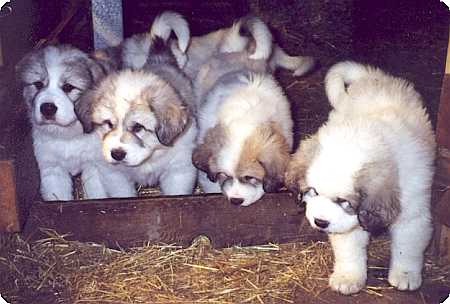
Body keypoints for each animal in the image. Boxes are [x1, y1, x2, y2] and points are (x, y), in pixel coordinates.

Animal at [15, 45, 137, 201]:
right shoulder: (53, 169)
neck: (68, 137)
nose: (47, 108)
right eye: (38, 84)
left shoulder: (95, 167)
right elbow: (58, 196)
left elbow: (97, 193)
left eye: (68, 87)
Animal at [75, 11, 197, 195]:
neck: (151, 155)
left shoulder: (178, 171)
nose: (117, 154)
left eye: (138, 127)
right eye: (108, 124)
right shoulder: (116, 176)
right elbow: (123, 194)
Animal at [284, 61, 436, 294]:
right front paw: (348, 277)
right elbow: (349, 250)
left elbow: (408, 246)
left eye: (343, 201)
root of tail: (371, 76)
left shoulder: (413, 214)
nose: (320, 222)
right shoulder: (347, 225)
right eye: (314, 192)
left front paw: (406, 275)